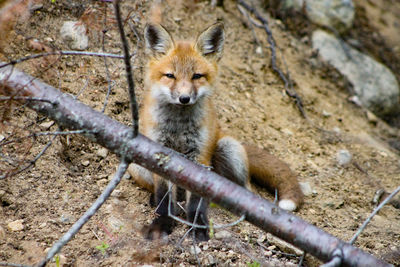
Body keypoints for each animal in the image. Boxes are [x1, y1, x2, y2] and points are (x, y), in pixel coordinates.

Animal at [128, 22, 304, 241]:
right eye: (170, 76)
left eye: (197, 76)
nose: (184, 98)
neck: (178, 125)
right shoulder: (159, 152)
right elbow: (164, 199)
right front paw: (162, 223)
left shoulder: (199, 157)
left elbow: (196, 200)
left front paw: (198, 227)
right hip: (136, 166)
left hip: (227, 149)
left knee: (244, 189)